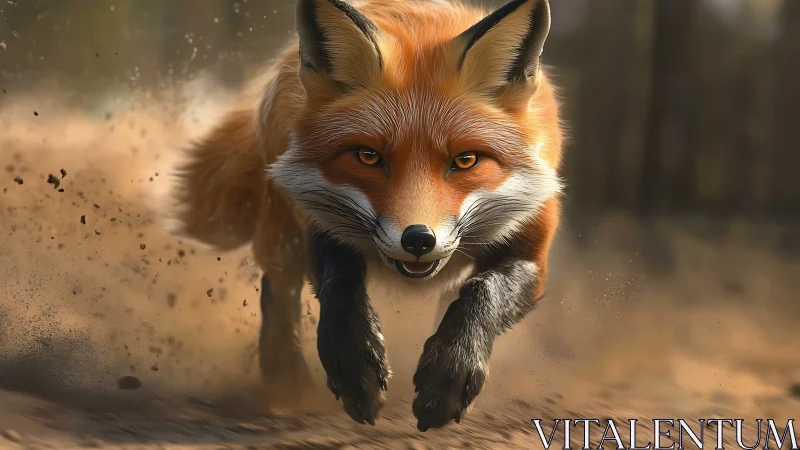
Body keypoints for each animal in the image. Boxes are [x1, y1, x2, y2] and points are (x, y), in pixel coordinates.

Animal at [171, 0, 563, 432]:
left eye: (466, 160)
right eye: (368, 157)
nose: (418, 239)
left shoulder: (530, 251)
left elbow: (482, 292)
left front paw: (450, 372)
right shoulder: (319, 220)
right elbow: (341, 286)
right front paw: (355, 366)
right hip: (284, 231)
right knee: (278, 292)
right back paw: (286, 382)